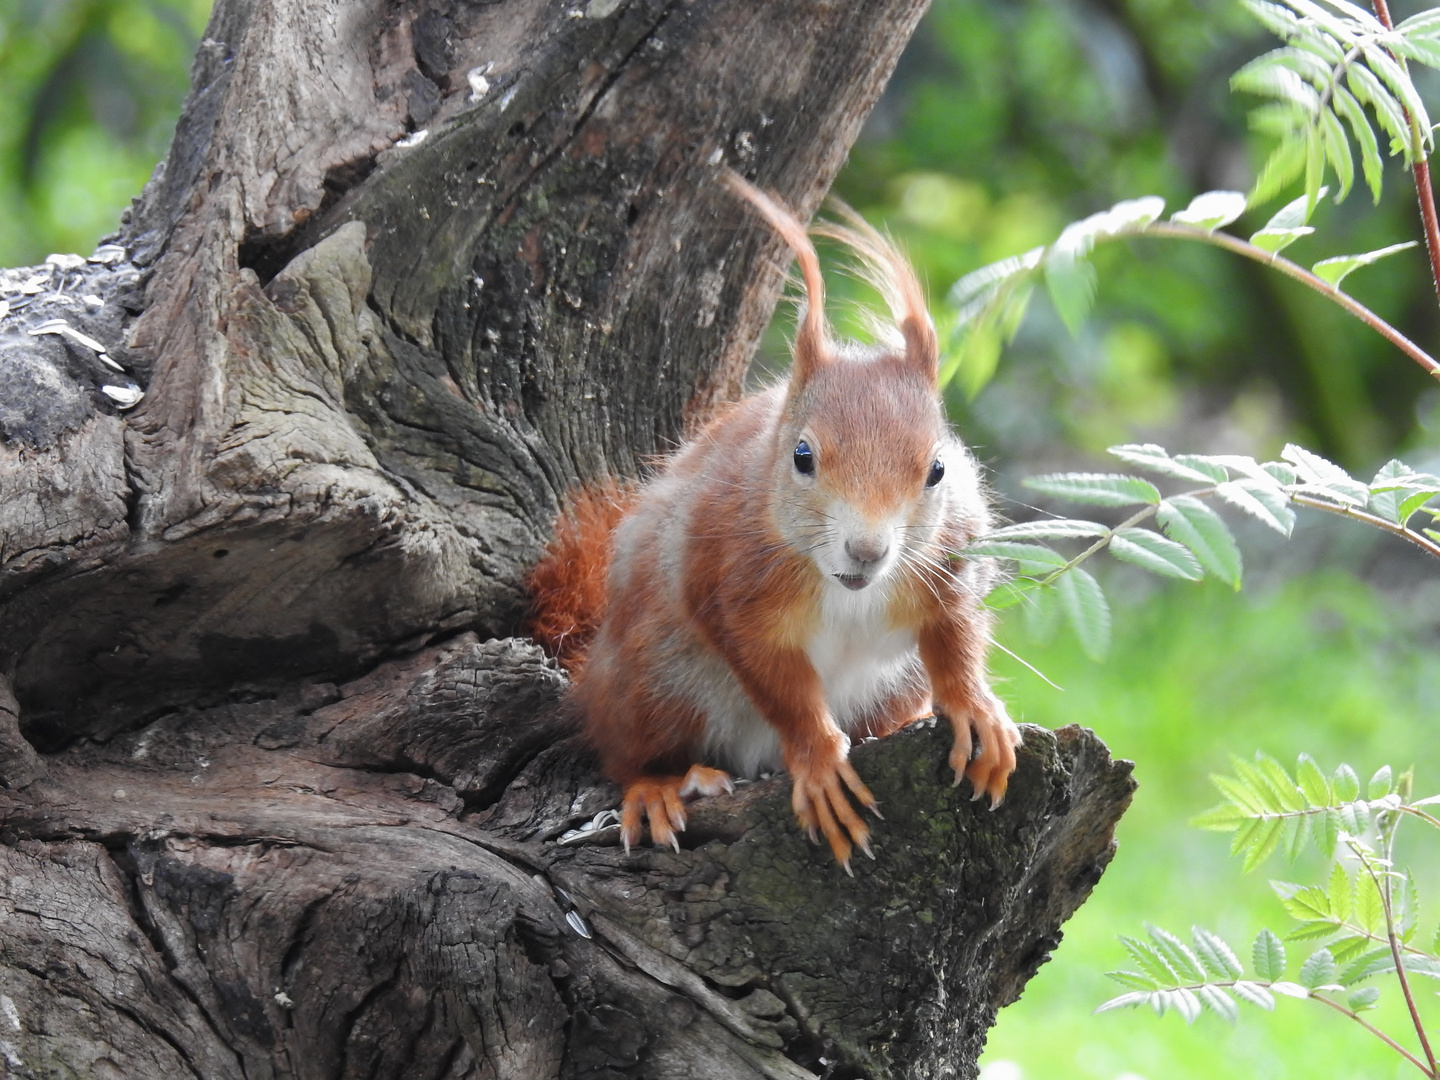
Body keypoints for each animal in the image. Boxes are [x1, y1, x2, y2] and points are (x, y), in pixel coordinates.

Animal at [532, 173, 1025, 875]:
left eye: (937, 469)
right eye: (802, 456)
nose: (868, 550)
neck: (848, 590)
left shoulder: (949, 561)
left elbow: (955, 636)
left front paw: (973, 706)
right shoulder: (729, 583)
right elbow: (780, 686)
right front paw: (819, 764)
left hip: (891, 687)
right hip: (654, 678)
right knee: (627, 753)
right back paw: (662, 785)